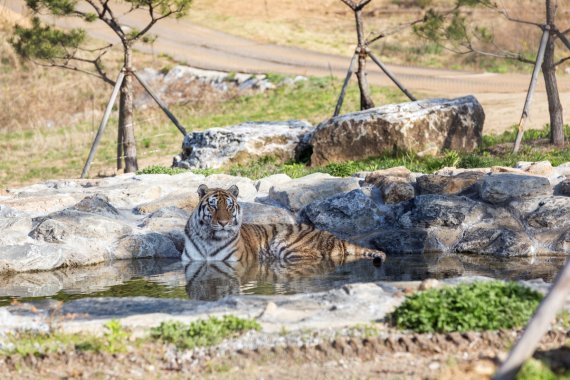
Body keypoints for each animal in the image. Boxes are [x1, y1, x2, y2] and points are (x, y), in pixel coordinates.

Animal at [182, 183, 386, 266]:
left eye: (229, 206)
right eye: (213, 205)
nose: (224, 223)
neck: (209, 240)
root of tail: (335, 237)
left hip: (288, 247)